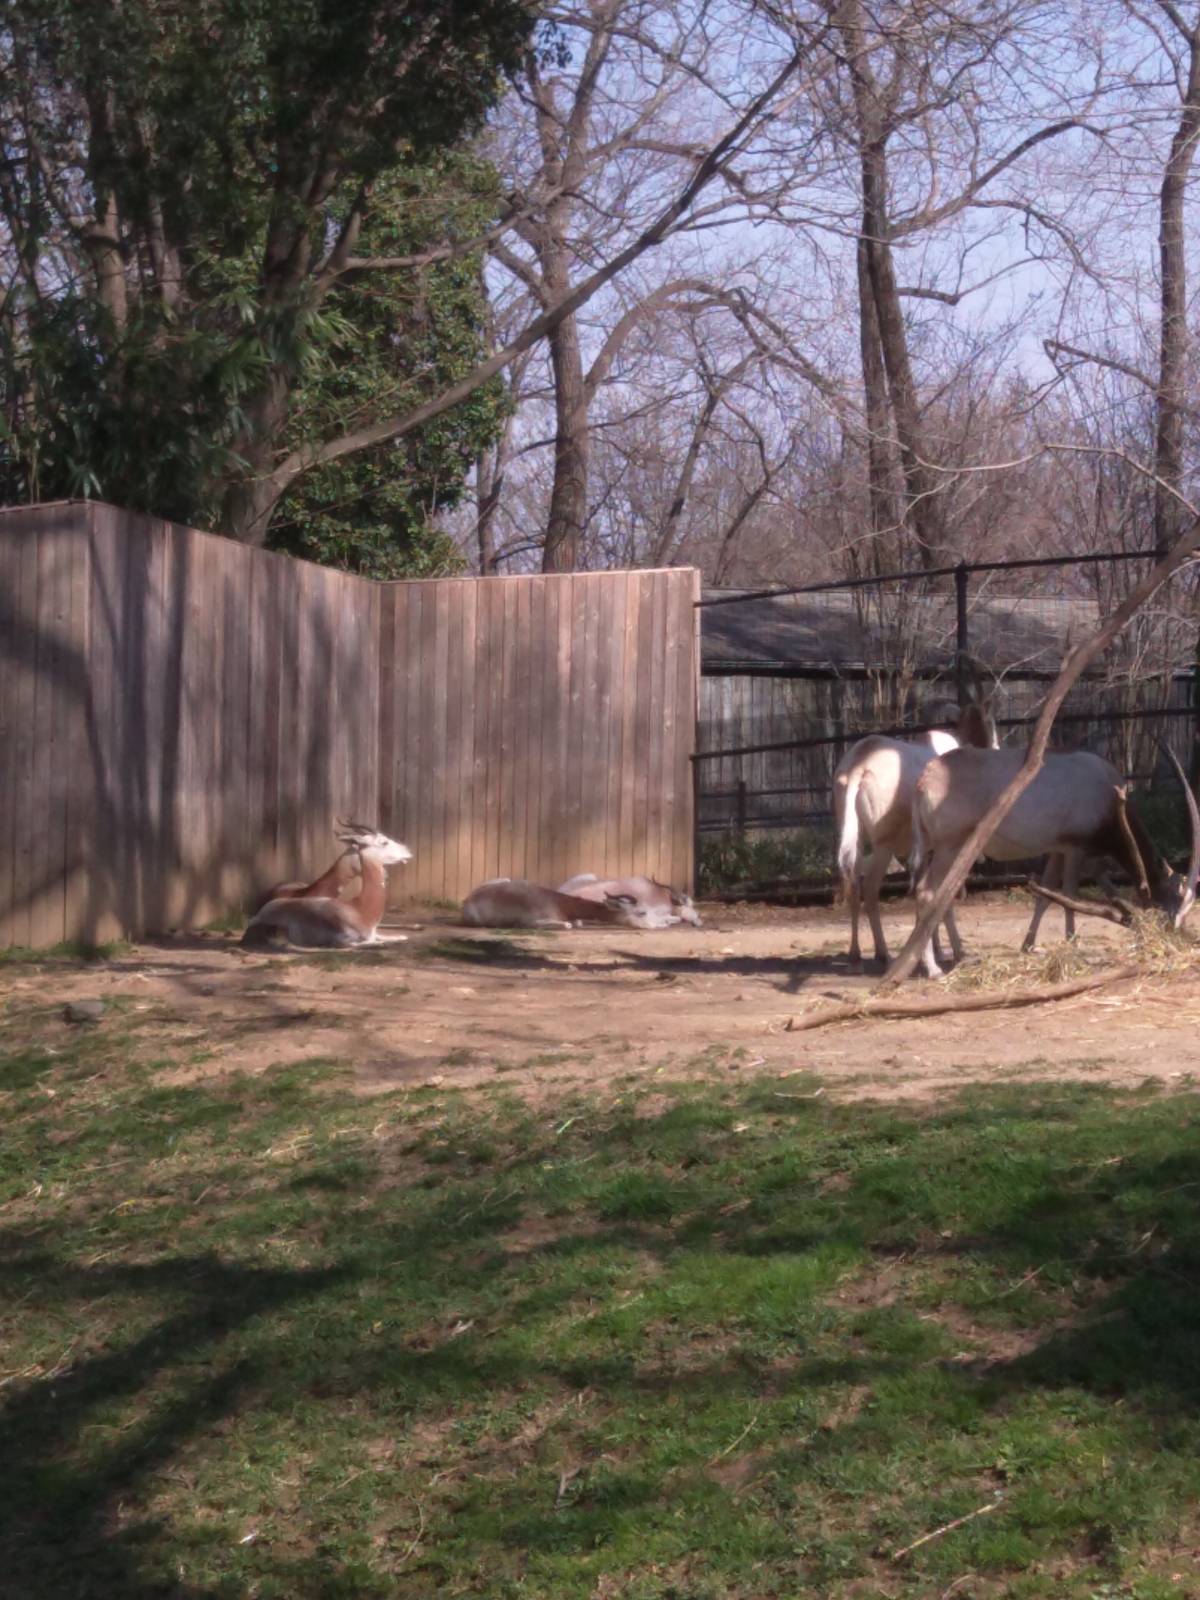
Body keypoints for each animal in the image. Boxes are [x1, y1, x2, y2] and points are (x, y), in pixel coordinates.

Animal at [242, 824, 412, 949]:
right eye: (384, 842)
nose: (408, 851)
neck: (359, 909)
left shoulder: (374, 932)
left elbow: (396, 937)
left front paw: (401, 936)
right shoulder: (342, 939)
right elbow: (365, 942)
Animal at [461, 878, 659, 930]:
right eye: (642, 912)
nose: (656, 926)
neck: (560, 903)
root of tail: (468, 900)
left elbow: (577, 922)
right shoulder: (534, 921)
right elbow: (568, 925)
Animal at [833, 696, 999, 969]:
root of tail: (859, 766)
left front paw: (935, 950)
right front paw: (951, 951)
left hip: (857, 839)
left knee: (854, 885)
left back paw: (855, 954)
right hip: (884, 844)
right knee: (870, 888)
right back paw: (882, 952)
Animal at [909, 744, 1200, 978]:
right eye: (1176, 896)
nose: (1177, 933)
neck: (1107, 789)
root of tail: (926, 779)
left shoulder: (1058, 850)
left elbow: (1046, 896)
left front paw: (1028, 945)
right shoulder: (1074, 849)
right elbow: (1069, 895)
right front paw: (1072, 944)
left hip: (950, 850)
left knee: (943, 896)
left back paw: (959, 954)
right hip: (951, 846)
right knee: (927, 892)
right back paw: (934, 969)